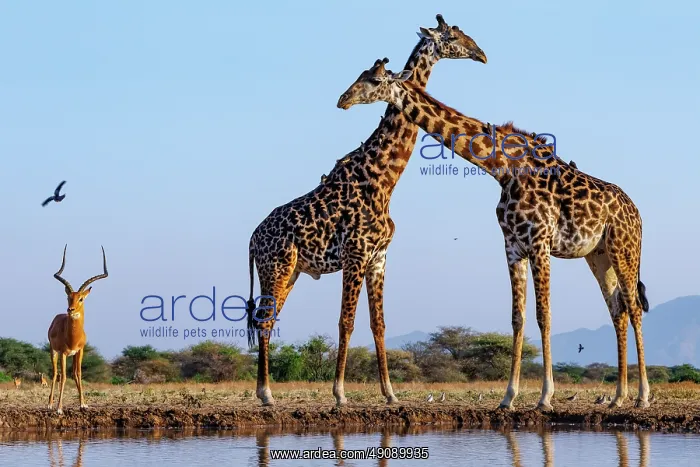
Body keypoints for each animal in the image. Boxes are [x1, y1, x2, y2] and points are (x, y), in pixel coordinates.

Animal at [245, 14, 487, 406]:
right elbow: (346, 321)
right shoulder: (355, 254)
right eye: (453, 36)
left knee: (269, 318)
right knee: (265, 320)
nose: (481, 54)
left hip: (291, 272)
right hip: (275, 268)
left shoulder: (378, 258)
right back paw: (266, 394)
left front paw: (390, 393)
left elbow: (379, 324)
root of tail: (251, 240)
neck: (383, 179)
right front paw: (340, 393)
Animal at [337, 58, 651, 410]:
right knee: (617, 311)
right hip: (598, 257)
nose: (343, 100)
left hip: (624, 250)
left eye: (375, 80)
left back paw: (642, 396)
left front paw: (545, 397)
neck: (502, 168)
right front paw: (508, 397)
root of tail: (637, 214)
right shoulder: (512, 244)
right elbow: (518, 317)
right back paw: (617, 398)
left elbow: (544, 315)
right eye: (361, 75)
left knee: (634, 308)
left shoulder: (540, 242)